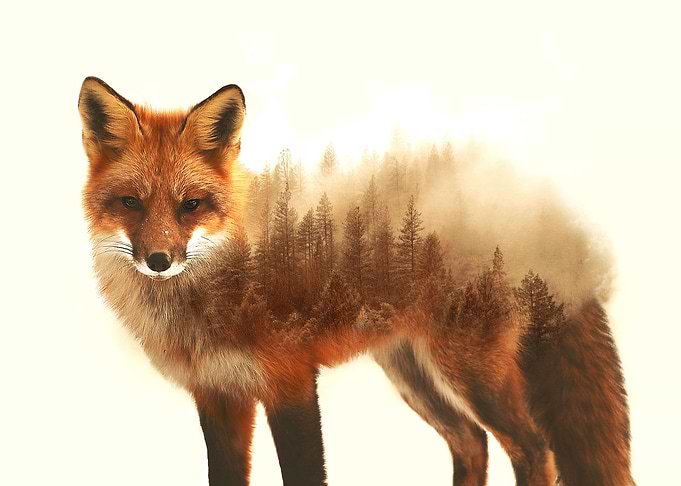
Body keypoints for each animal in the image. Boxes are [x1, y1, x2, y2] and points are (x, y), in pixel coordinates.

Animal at [79, 76, 633, 486]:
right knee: (471, 443)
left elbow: (305, 475)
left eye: (190, 205)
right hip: (413, 372)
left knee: (534, 449)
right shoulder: (219, 396)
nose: (159, 260)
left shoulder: (291, 381)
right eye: (131, 203)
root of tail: (537, 222)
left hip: (472, 373)